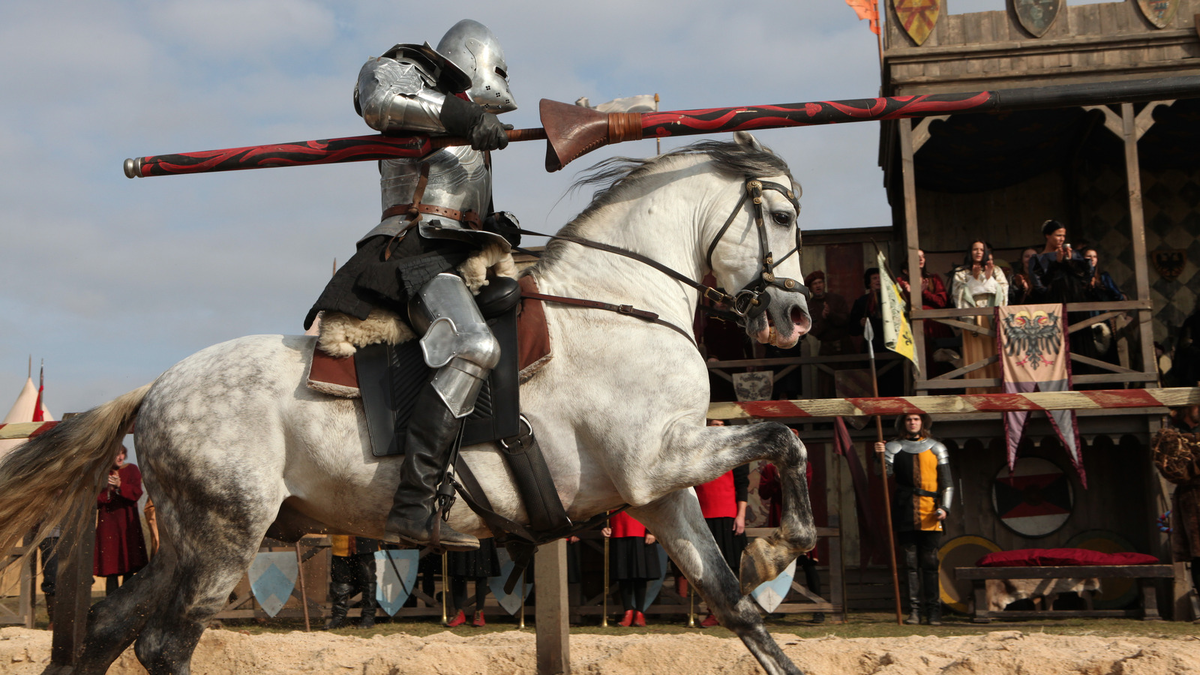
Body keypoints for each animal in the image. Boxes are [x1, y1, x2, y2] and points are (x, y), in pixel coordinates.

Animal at [0, 132, 816, 672]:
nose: (794, 317)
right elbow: (787, 441)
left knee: (108, 625)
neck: (621, 300)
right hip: (222, 541)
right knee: (165, 645)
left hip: (191, 541)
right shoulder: (657, 460)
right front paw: (781, 544)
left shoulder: (661, 492)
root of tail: (155, 388)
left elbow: (735, 603)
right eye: (781, 218)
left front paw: (766, 558)